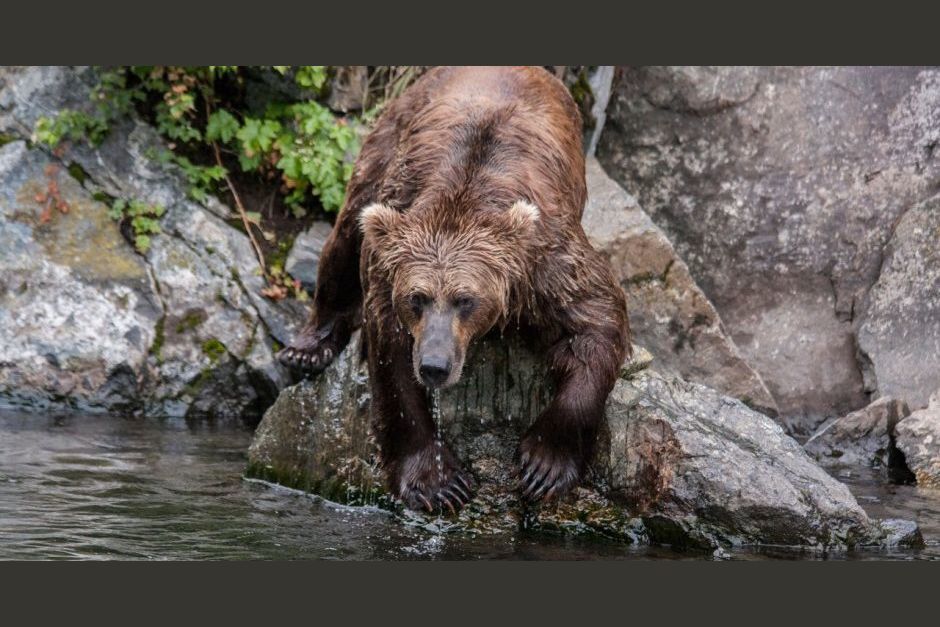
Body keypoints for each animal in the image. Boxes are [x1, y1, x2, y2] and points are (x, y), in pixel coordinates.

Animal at [280, 66, 632, 516]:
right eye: (416, 298)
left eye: (466, 300)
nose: (435, 365)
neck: (466, 193)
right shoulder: (391, 264)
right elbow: (393, 363)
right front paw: (439, 482)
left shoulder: (545, 263)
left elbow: (596, 323)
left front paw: (544, 466)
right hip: (386, 142)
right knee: (347, 231)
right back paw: (307, 348)